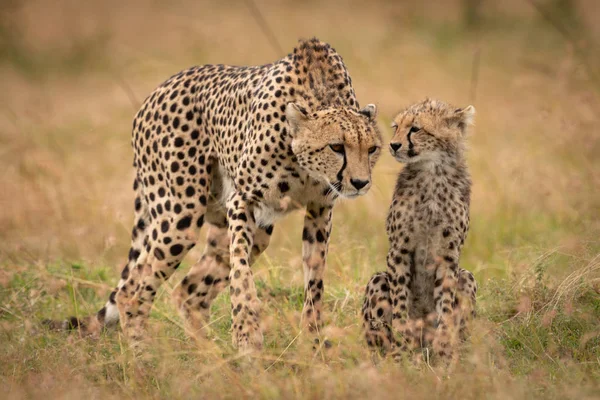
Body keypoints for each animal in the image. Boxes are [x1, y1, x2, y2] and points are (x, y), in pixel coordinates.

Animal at [49, 37, 382, 350]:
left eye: (372, 149)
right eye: (336, 147)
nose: (360, 182)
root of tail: (159, 90)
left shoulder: (319, 210)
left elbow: (314, 280)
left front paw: (313, 343)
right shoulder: (242, 200)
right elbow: (241, 275)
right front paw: (247, 337)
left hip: (249, 229)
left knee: (188, 291)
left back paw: (209, 354)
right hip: (179, 217)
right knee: (132, 289)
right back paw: (144, 354)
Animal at [360, 98, 478, 360]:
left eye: (415, 129)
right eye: (396, 127)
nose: (394, 145)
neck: (433, 172)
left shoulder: (448, 255)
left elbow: (445, 304)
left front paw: (444, 347)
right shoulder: (399, 250)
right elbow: (400, 301)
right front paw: (402, 340)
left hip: (466, 277)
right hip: (377, 281)